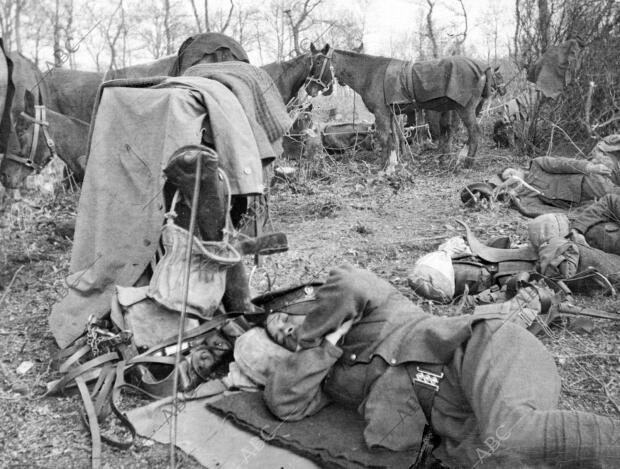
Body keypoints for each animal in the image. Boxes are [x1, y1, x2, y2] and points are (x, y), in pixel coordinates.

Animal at [326, 45, 506, 169]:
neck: (371, 73)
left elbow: (384, 137)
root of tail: (482, 68)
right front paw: (396, 161)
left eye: (319, 60)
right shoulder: (391, 113)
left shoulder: (381, 113)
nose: (502, 90)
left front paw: (384, 166)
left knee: (473, 132)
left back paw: (466, 162)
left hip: (465, 109)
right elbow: (395, 137)